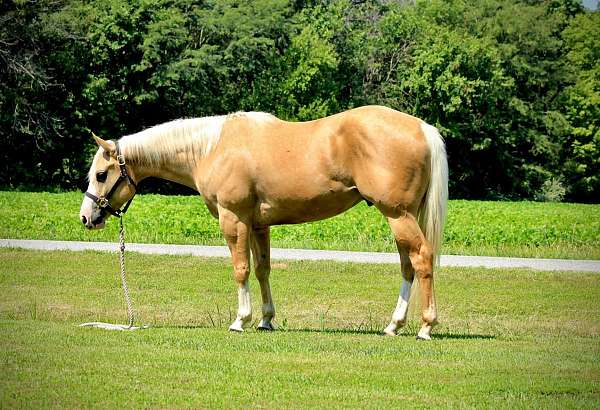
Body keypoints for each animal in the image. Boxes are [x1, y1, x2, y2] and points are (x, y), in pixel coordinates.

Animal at [79, 105, 446, 340]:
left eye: (101, 175)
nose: (87, 217)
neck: (212, 147)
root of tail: (421, 127)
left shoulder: (234, 219)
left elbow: (240, 269)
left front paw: (240, 320)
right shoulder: (258, 225)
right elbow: (262, 270)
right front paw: (266, 320)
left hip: (397, 214)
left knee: (421, 259)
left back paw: (425, 327)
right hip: (402, 216)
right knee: (408, 267)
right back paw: (394, 325)